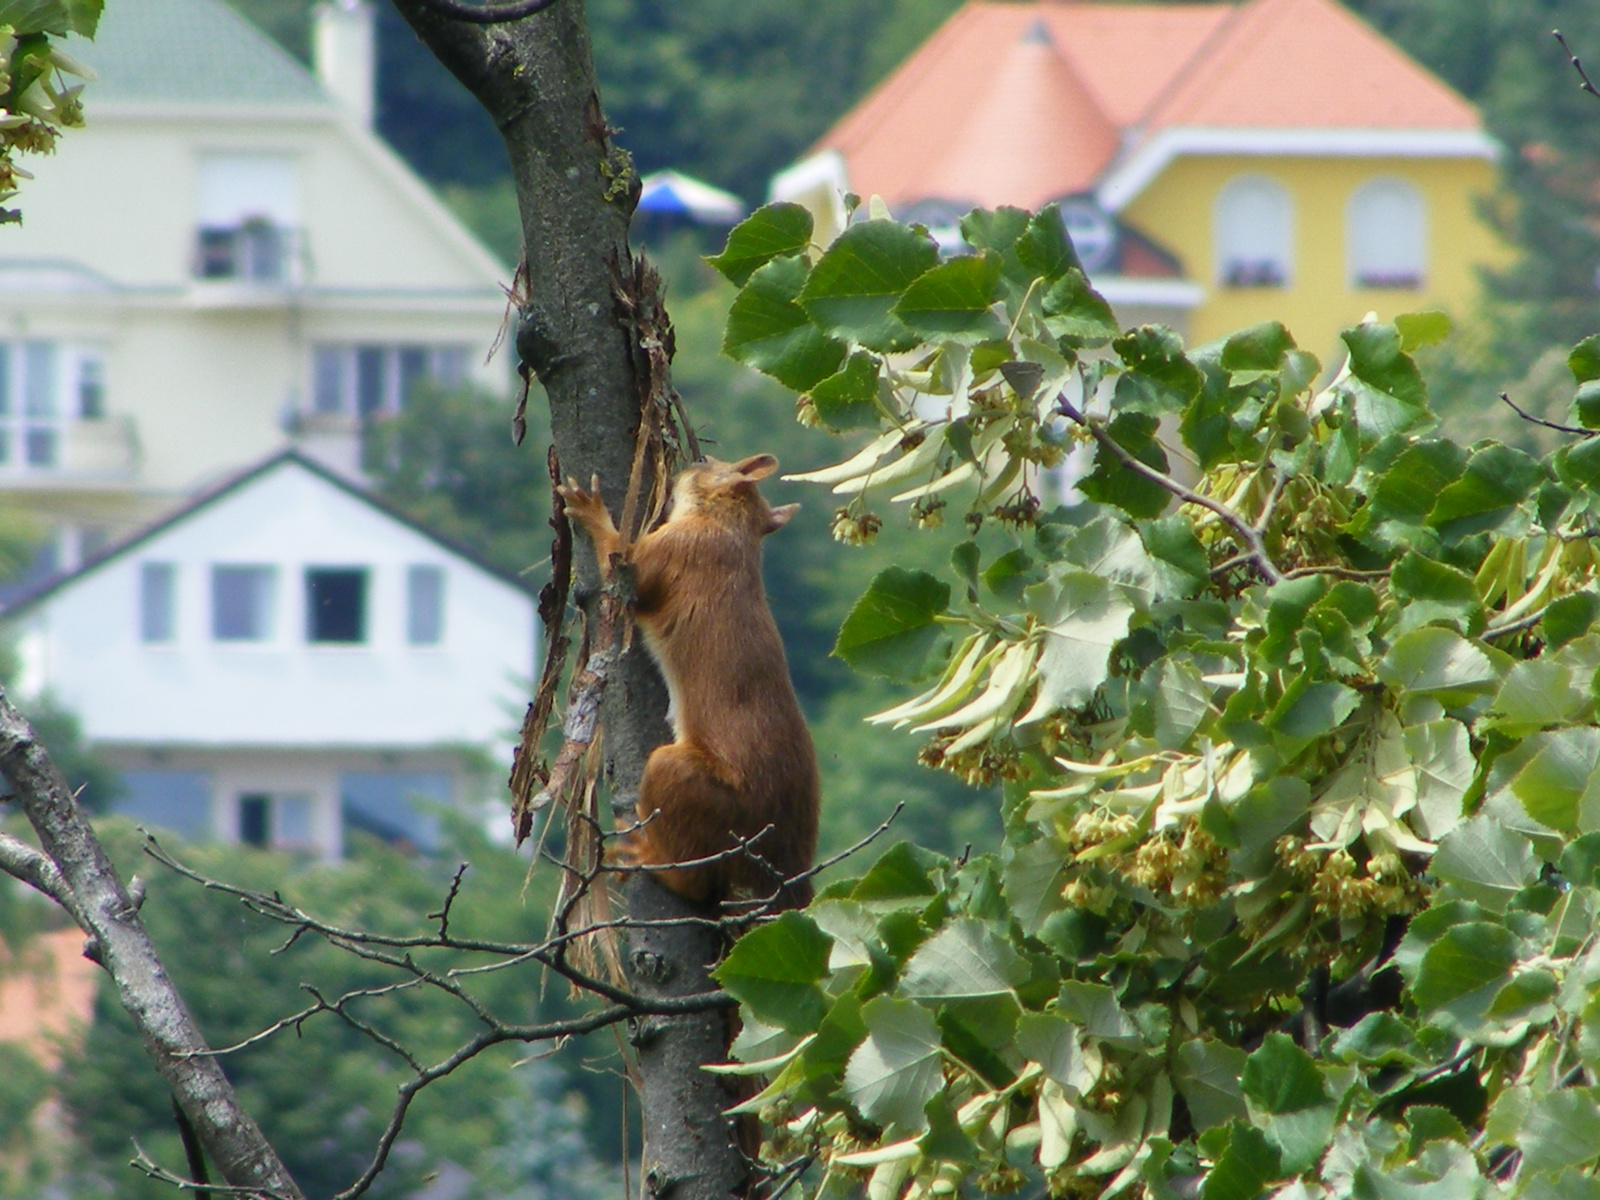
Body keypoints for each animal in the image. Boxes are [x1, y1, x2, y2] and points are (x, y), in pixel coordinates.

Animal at [556, 454, 819, 908]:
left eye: (705, 462)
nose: (686, 464)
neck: (730, 532)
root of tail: (787, 864)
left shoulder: (674, 551)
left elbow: (621, 563)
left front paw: (590, 509)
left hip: (691, 784)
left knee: (695, 880)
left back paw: (648, 856)